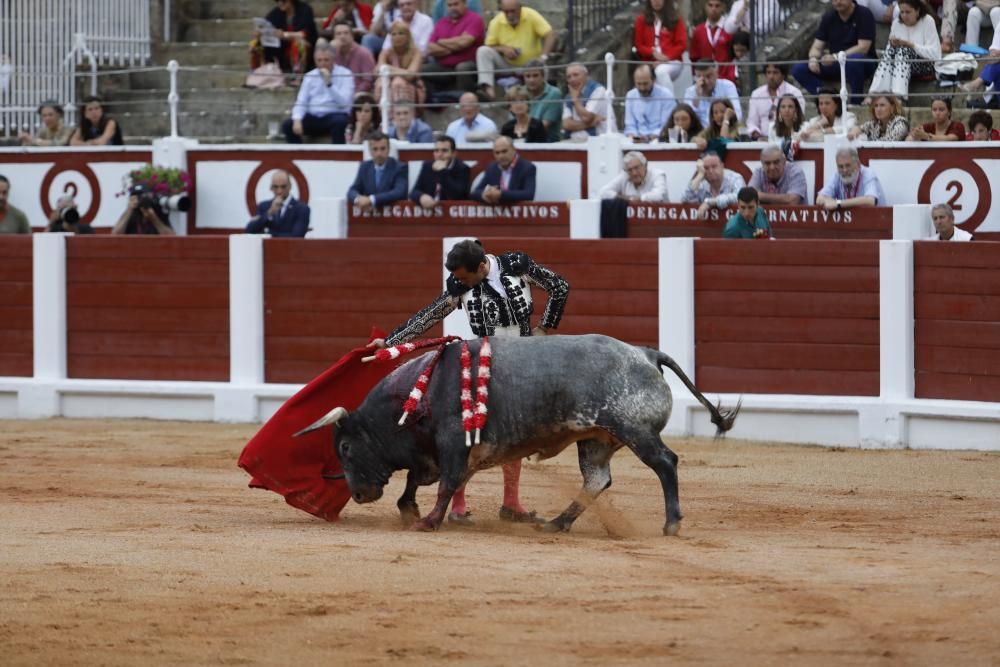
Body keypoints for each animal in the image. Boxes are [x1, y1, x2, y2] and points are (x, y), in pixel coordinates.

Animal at [300, 334, 740, 536]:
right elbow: (419, 480)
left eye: (345, 446)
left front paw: (428, 521)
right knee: (597, 479)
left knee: (665, 463)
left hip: (634, 430)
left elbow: (444, 484)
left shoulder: (453, 444)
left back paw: (671, 523)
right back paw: (556, 524)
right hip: (596, 439)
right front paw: (410, 510)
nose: (358, 494)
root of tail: (646, 354)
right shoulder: (446, 453)